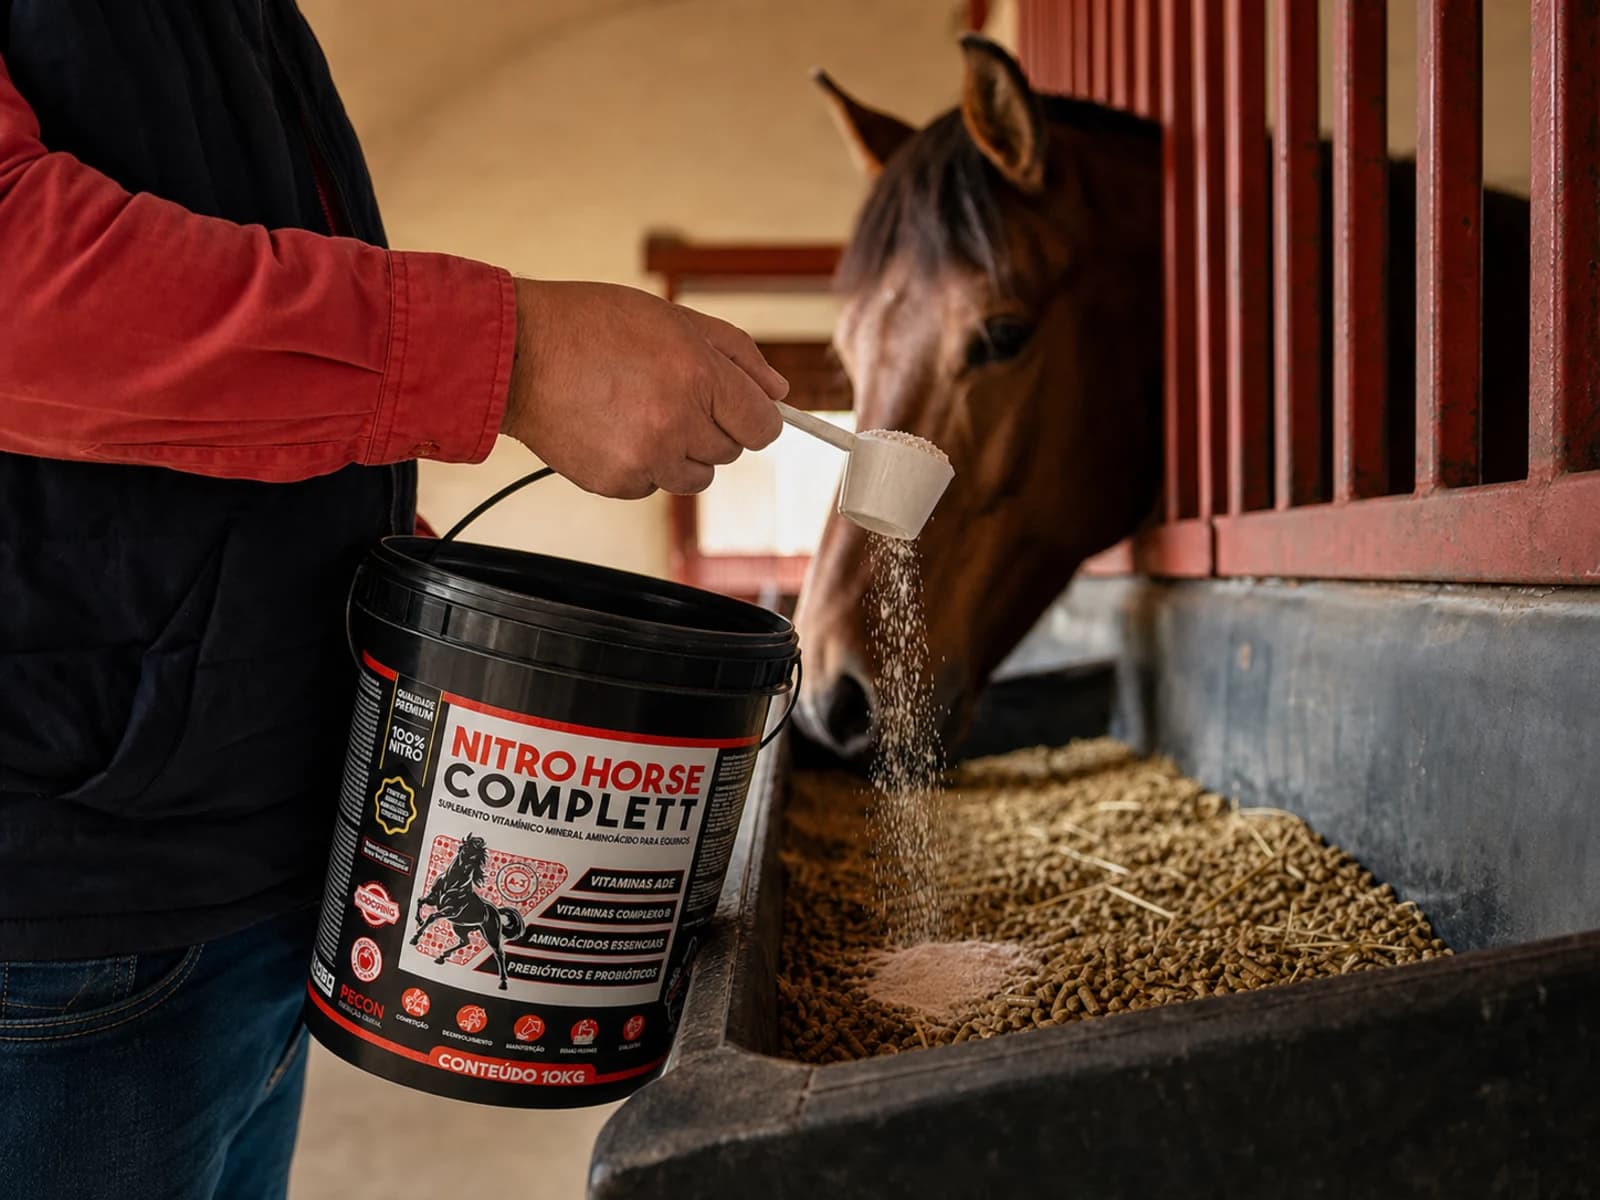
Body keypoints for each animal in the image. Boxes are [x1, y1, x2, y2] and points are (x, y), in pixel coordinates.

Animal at [410, 833, 525, 990]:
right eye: (466, 848)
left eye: (479, 857)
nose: (469, 869)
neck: (452, 883)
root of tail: (496, 911)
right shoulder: (433, 899)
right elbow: (420, 901)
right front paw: (419, 920)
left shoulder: (451, 910)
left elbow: (432, 916)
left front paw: (415, 937)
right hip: (460, 927)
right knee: (465, 941)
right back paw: (441, 956)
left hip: (491, 935)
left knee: (499, 954)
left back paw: (503, 982)